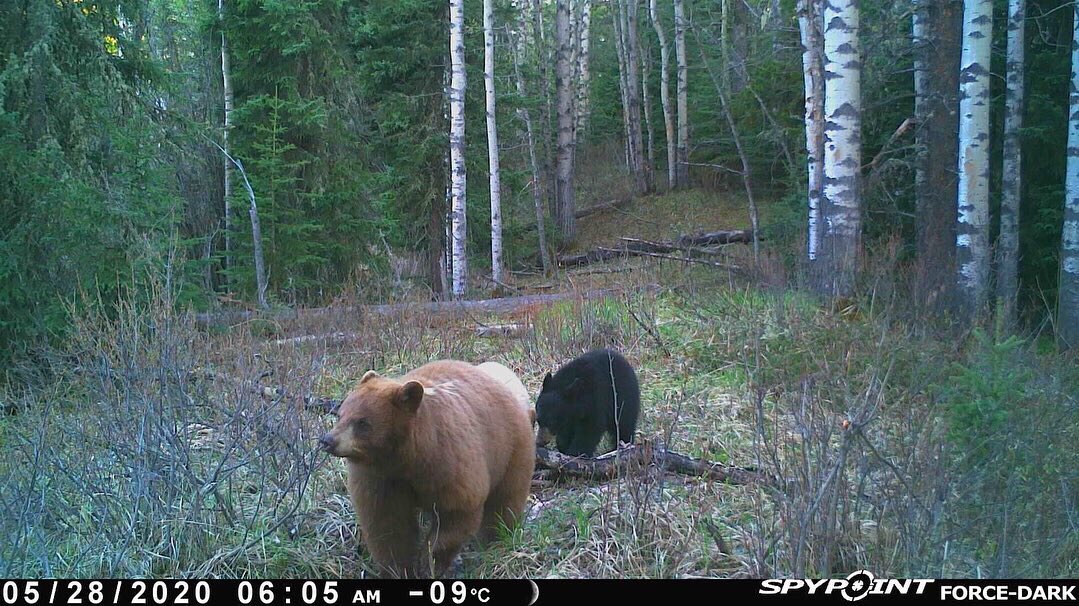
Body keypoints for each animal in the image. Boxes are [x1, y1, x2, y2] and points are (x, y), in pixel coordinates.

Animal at [319, 360, 536, 578]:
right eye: (340, 414)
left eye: (362, 422)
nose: (327, 440)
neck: (406, 458)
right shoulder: (380, 477)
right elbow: (388, 525)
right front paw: (399, 569)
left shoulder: (448, 463)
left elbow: (457, 510)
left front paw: (429, 562)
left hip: (510, 449)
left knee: (505, 500)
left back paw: (496, 539)